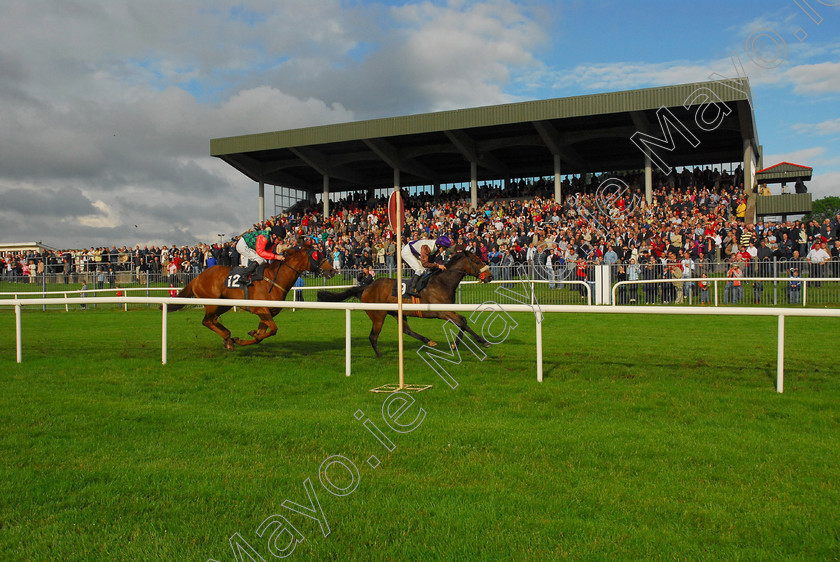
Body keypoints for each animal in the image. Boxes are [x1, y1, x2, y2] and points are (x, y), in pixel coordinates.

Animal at [167, 243, 334, 348]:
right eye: (316, 255)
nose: (332, 270)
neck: (274, 279)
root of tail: (197, 278)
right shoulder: (261, 309)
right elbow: (272, 330)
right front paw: (247, 336)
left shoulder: (268, 313)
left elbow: (262, 334)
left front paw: (246, 337)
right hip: (212, 303)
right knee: (207, 321)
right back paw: (228, 337)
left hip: (223, 304)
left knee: (212, 320)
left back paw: (228, 338)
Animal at [318, 248, 496, 354]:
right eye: (477, 261)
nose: (490, 277)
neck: (442, 282)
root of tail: (366, 287)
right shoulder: (442, 312)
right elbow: (462, 322)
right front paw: (480, 342)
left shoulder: (448, 311)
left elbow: (463, 321)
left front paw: (457, 344)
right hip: (378, 316)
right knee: (373, 337)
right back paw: (380, 356)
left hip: (397, 313)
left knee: (406, 330)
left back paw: (428, 341)